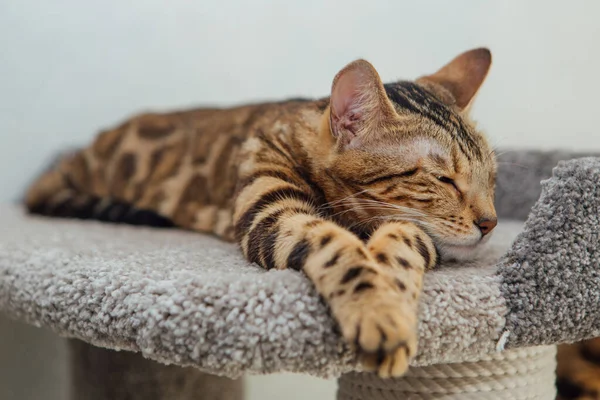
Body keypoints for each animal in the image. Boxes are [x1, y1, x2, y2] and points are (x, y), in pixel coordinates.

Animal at [24, 48, 496, 376]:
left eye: (491, 177)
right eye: (444, 179)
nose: (490, 223)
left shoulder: (417, 232)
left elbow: (399, 244)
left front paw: (390, 297)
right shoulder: (273, 215)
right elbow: (341, 253)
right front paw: (375, 312)